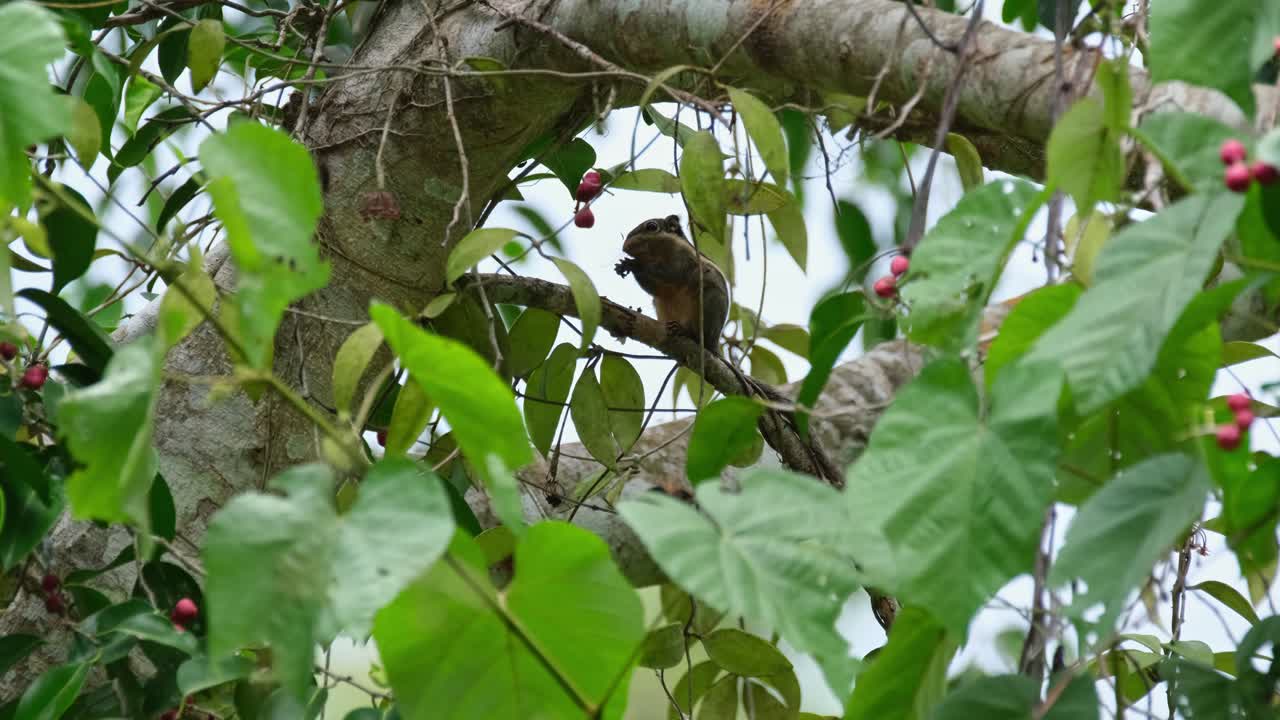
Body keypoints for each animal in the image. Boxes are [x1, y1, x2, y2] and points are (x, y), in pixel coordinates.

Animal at [614, 215, 729, 351]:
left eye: (651, 226)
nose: (624, 247)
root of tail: (714, 343)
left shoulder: (682, 261)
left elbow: (670, 274)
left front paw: (633, 263)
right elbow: (656, 288)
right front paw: (624, 265)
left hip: (710, 303)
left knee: (700, 337)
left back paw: (686, 331)